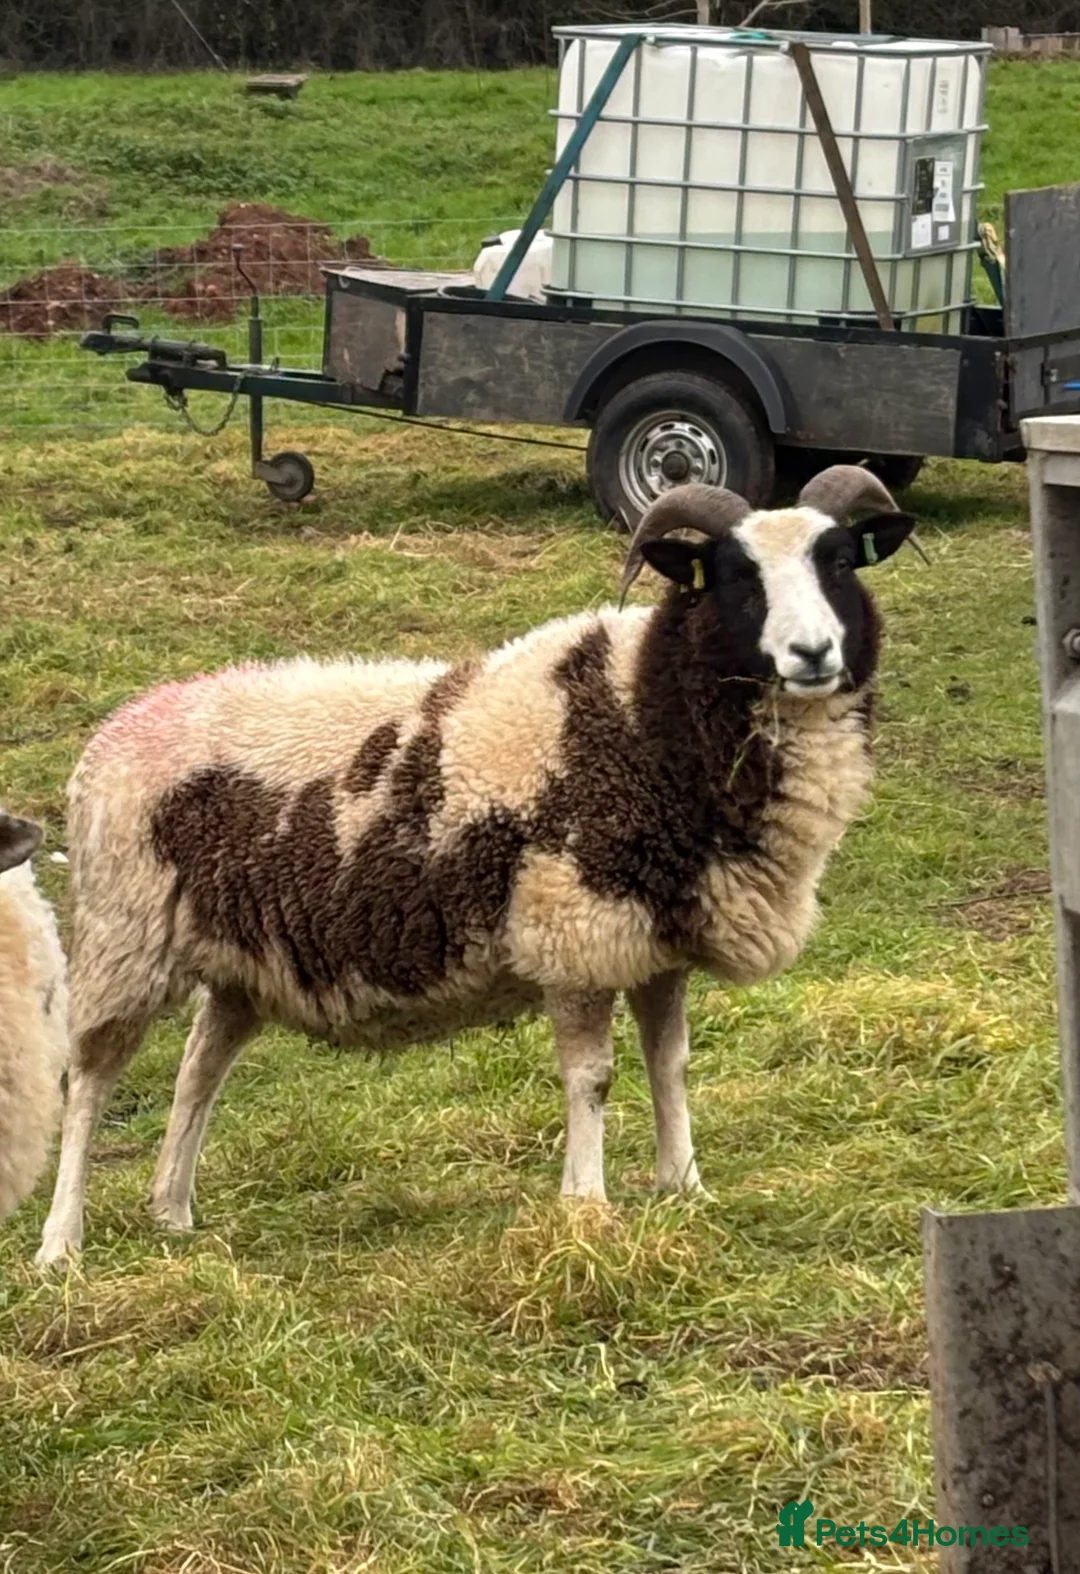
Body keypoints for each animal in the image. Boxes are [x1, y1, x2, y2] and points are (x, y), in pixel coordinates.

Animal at [36, 466, 914, 1265]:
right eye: (735, 576)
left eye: (840, 562)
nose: (812, 653)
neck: (643, 708)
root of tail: (111, 732)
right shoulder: (572, 928)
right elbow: (592, 1077)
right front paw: (586, 1210)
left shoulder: (655, 935)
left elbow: (671, 1065)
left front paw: (685, 1188)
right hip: (125, 935)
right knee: (89, 1084)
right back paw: (60, 1244)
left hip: (237, 961)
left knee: (198, 1070)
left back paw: (172, 1211)